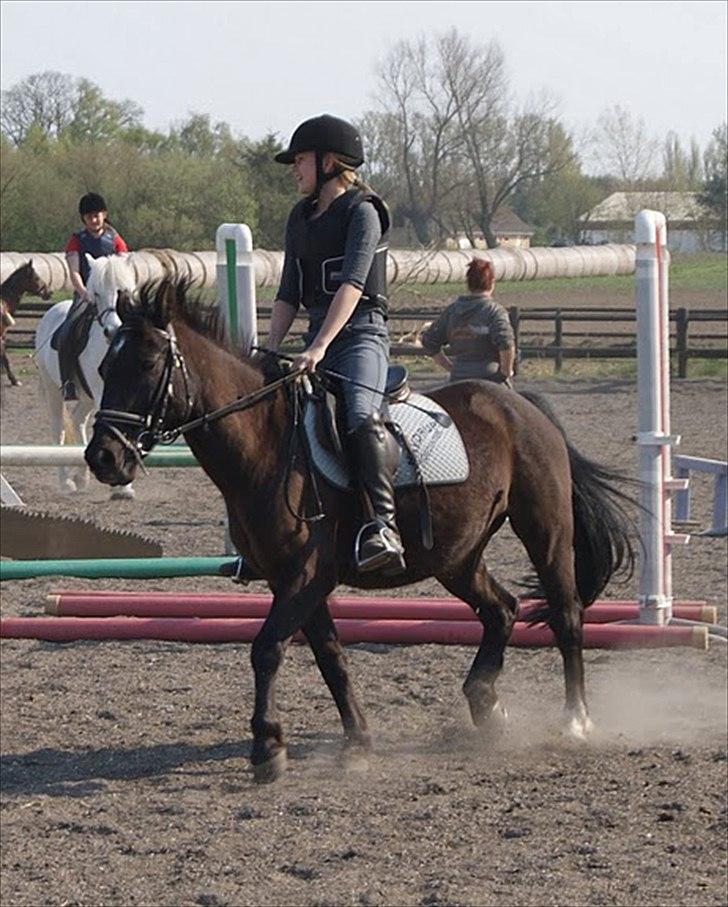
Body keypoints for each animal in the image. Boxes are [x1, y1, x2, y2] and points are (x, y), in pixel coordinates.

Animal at [35, 254, 138, 496]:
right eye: (97, 293)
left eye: (124, 291)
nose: (112, 330)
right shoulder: (103, 393)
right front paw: (122, 487)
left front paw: (125, 486)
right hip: (53, 389)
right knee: (59, 430)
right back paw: (66, 481)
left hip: (86, 396)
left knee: (77, 420)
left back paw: (81, 476)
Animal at [84, 282, 632, 780]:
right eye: (105, 368)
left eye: (148, 365)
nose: (102, 458)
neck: (267, 445)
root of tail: (520, 406)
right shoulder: (291, 581)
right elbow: (331, 657)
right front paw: (357, 742)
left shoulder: (307, 574)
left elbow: (267, 649)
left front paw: (267, 747)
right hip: (456, 555)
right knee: (501, 609)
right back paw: (486, 706)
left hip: (545, 530)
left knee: (565, 614)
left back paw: (576, 721)